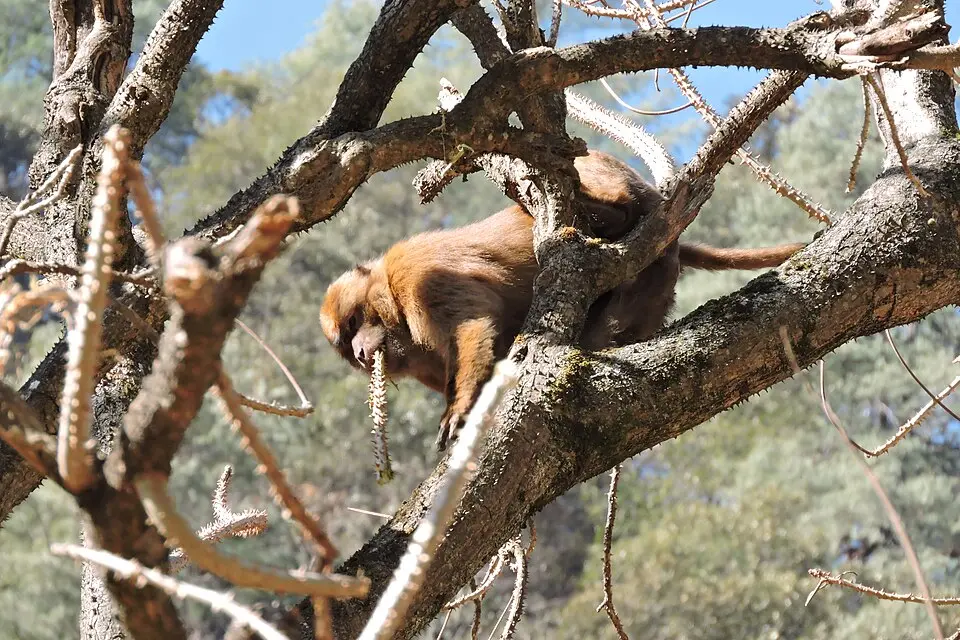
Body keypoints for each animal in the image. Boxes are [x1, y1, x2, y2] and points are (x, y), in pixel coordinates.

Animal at [319, 150, 805, 450]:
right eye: (345, 345)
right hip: (653, 287)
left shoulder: (419, 279)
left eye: (354, 322)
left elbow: (474, 325)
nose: (360, 352)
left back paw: (603, 212)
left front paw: (458, 411)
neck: (393, 303)